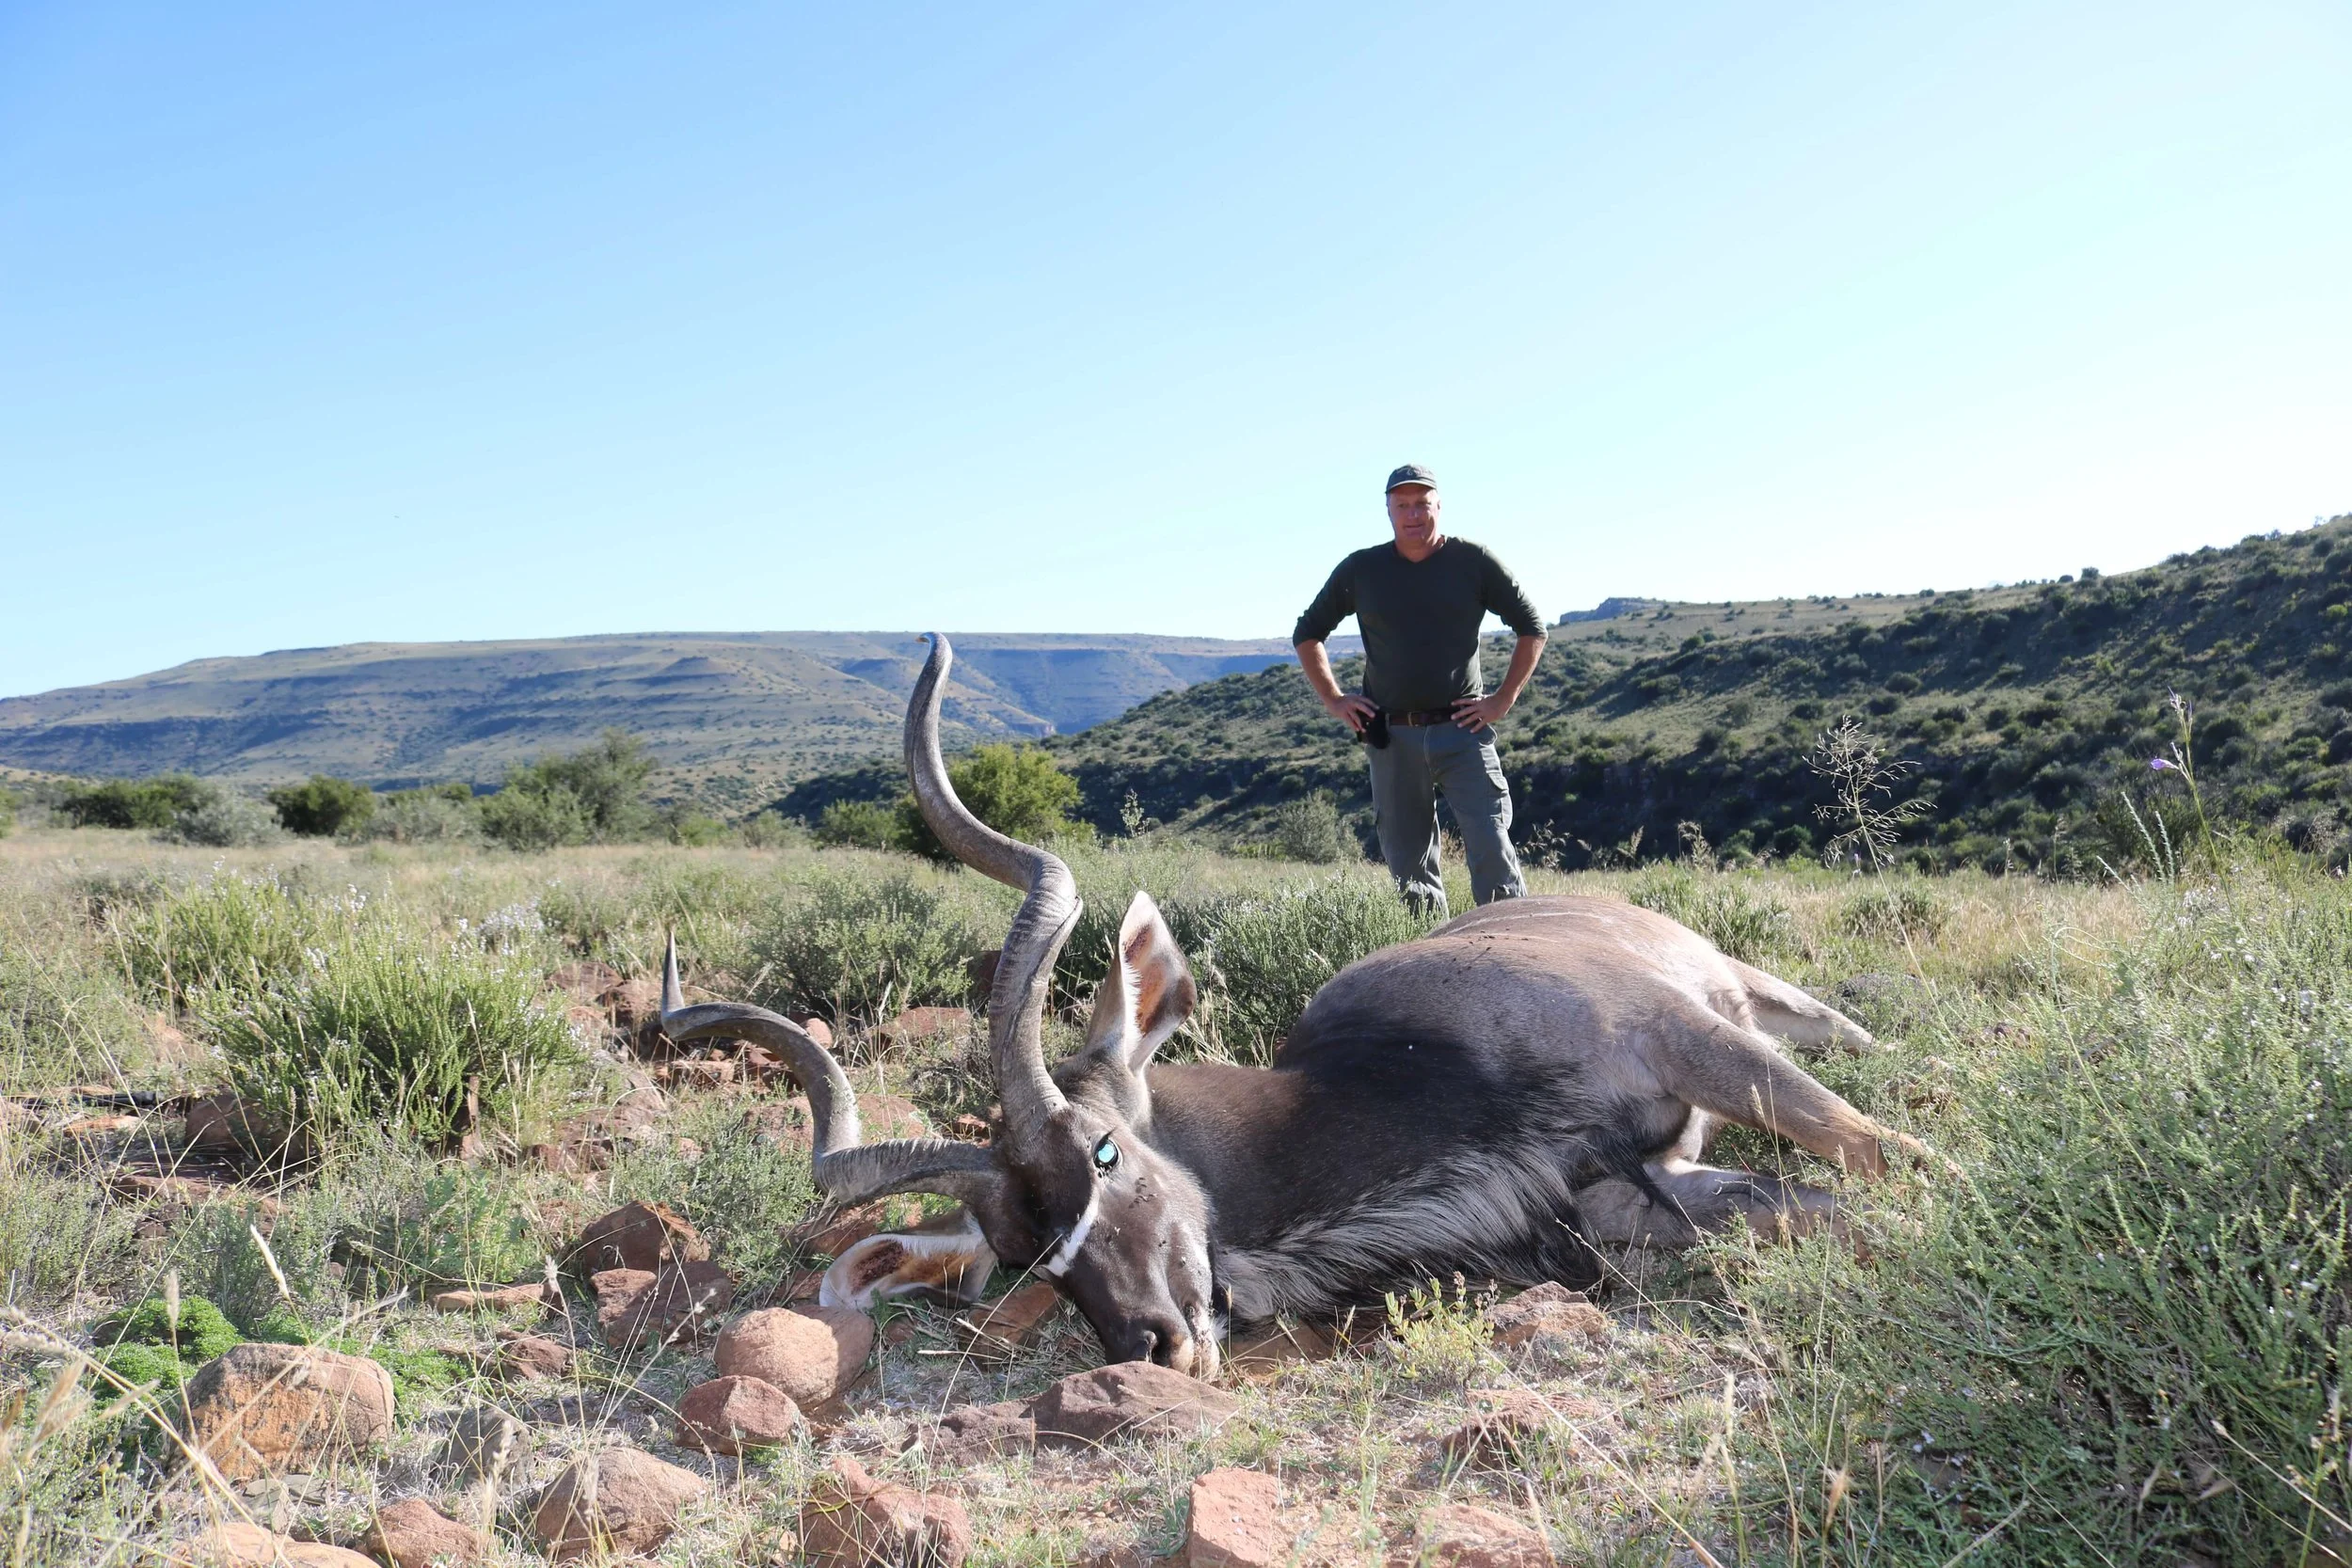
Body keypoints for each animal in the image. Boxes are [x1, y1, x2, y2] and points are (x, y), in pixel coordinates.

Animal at [661, 634, 1914, 1378]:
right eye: (1026, 1258)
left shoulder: (1683, 1041)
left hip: (1760, 1006)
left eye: (1104, 1152)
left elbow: (1894, 1159)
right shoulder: (1631, 1190)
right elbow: (1816, 1204)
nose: (1148, 1342)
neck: (1394, 1071)